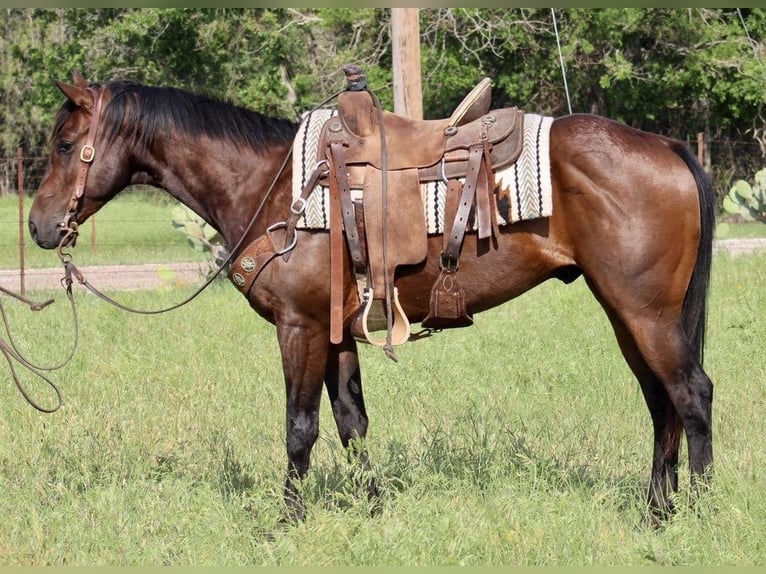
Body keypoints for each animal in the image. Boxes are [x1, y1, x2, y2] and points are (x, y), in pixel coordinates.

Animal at [27, 72, 716, 528]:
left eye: (63, 144)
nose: (37, 227)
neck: (275, 185)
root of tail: (667, 146)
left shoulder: (299, 327)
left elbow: (300, 427)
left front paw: (288, 521)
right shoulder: (335, 331)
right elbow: (351, 421)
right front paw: (373, 510)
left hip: (645, 313)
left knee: (690, 395)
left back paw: (700, 509)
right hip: (627, 313)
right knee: (660, 403)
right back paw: (656, 513)